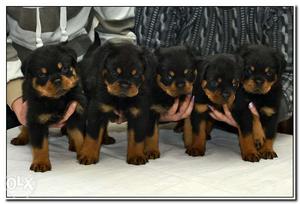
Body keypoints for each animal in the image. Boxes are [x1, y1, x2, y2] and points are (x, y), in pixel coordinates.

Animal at [10, 44, 86, 172]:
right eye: (42, 75)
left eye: (64, 68)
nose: (57, 80)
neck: (57, 100)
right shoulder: (36, 120)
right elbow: (40, 145)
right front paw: (41, 163)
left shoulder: (76, 113)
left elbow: (79, 136)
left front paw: (84, 152)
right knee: (25, 125)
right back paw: (21, 137)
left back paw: (72, 144)